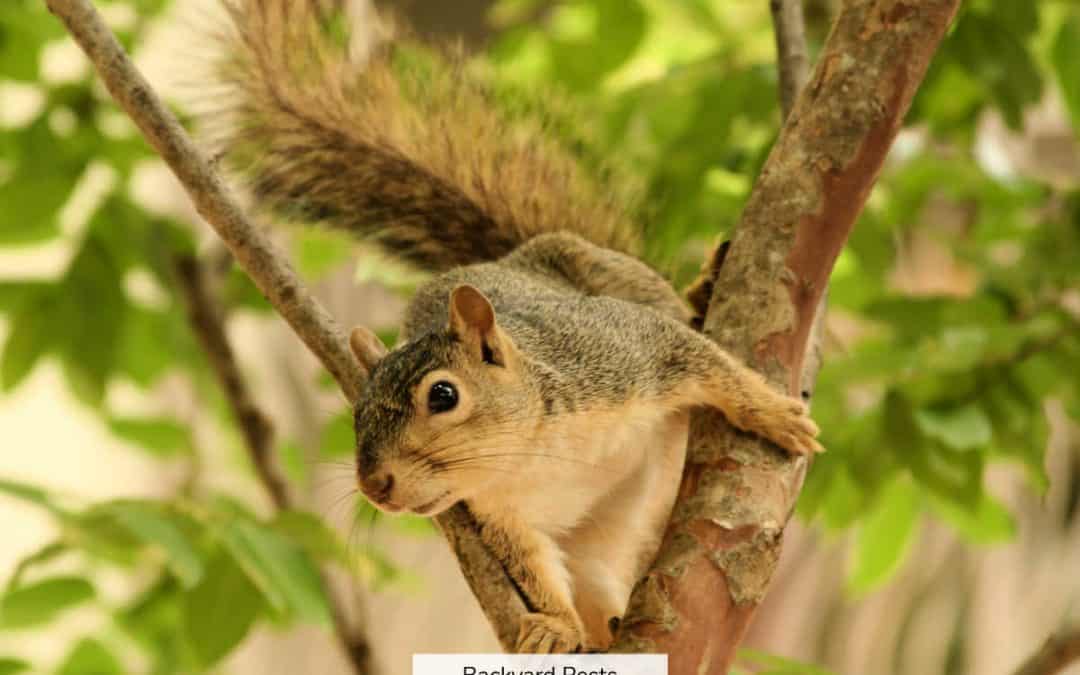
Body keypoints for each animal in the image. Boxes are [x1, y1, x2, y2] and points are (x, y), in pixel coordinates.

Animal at [210, 0, 822, 654]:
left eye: (443, 395)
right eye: (357, 412)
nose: (375, 485)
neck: (531, 451)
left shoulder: (627, 352)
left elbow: (709, 364)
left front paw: (774, 415)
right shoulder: (501, 516)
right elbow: (532, 570)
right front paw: (555, 627)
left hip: (607, 274)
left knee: (677, 313)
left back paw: (703, 291)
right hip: (596, 549)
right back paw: (606, 629)